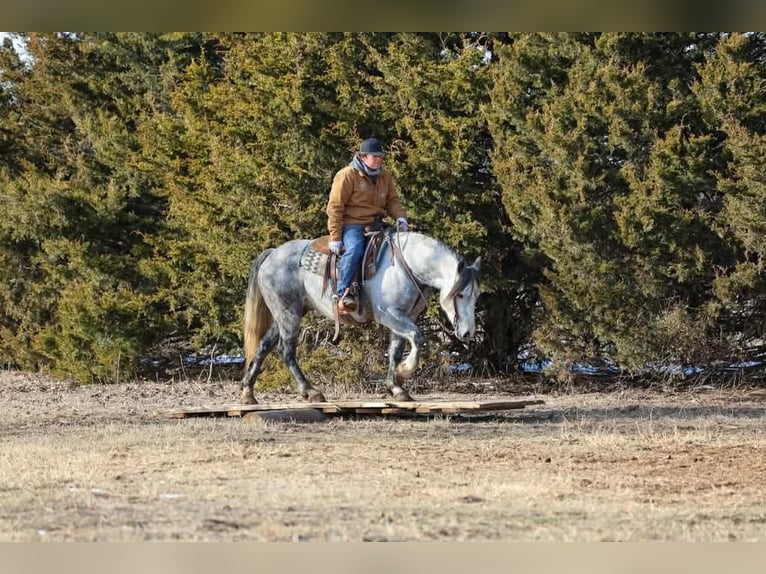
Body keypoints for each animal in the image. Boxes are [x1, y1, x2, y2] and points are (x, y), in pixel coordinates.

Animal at [240, 230, 481, 404]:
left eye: (476, 295)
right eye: (460, 294)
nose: (468, 332)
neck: (406, 266)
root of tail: (271, 254)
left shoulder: (403, 317)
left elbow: (395, 351)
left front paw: (396, 388)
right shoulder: (390, 315)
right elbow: (417, 337)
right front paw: (404, 372)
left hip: (284, 314)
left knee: (263, 347)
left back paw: (248, 393)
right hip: (289, 313)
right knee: (286, 351)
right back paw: (311, 391)